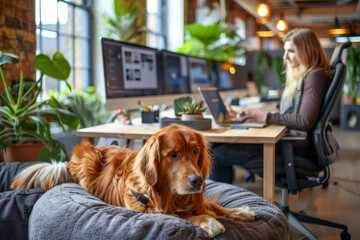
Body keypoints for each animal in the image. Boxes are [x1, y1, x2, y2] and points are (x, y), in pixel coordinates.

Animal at [10, 124, 253, 236]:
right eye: (173, 155)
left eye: (195, 151)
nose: (197, 181)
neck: (169, 195)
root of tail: (70, 161)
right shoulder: (148, 209)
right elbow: (181, 216)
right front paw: (207, 221)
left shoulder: (194, 198)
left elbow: (213, 205)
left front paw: (238, 211)